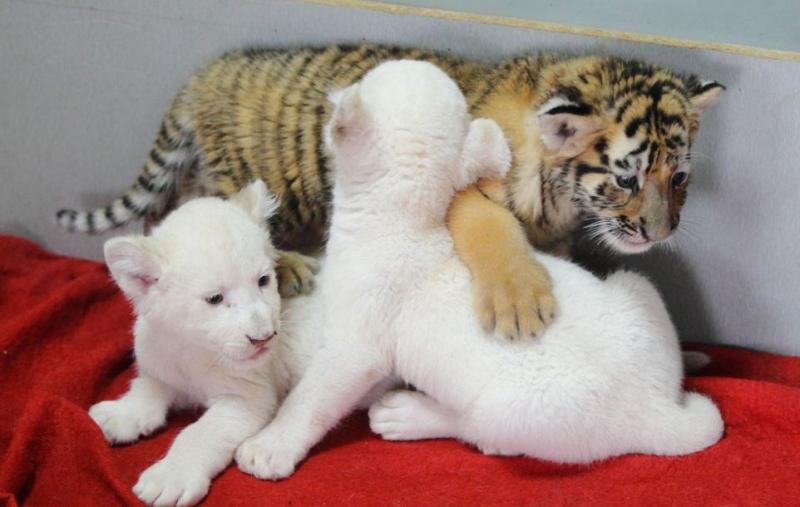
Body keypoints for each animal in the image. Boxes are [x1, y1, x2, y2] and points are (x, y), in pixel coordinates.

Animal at [55, 44, 723, 340]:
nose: (662, 233)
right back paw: (290, 264)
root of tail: (202, 74)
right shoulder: (464, 190)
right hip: (249, 174)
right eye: (626, 179)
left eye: (679, 178)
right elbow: (493, 230)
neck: (558, 195)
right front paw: (518, 302)